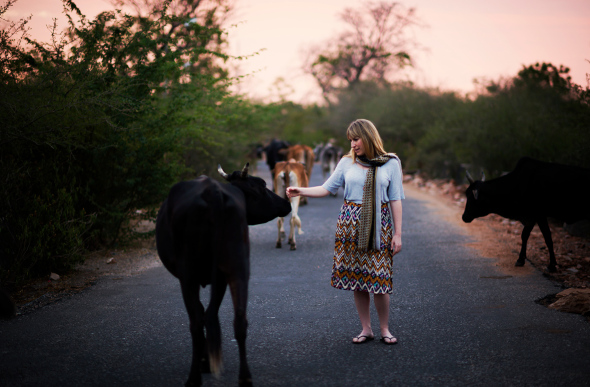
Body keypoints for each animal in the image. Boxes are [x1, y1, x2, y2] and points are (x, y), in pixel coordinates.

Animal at [156, 164, 292, 387]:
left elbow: (201, 313)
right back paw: (244, 377)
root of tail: (212, 192)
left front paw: (204, 360)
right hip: (237, 267)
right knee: (237, 320)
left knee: (196, 322)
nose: (286, 202)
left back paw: (194, 378)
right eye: (262, 186)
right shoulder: (220, 278)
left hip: (189, 274)